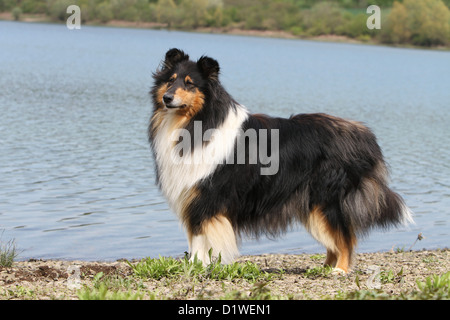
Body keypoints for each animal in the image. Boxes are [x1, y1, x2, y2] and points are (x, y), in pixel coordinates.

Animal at [148, 48, 412, 274]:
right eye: (171, 80)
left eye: (190, 83)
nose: (167, 98)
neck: (199, 121)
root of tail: (364, 135)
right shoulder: (194, 198)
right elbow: (195, 239)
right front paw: (195, 266)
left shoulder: (207, 199)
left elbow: (199, 240)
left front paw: (196, 267)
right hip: (312, 206)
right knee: (335, 240)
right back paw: (325, 268)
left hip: (327, 200)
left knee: (346, 237)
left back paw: (340, 270)